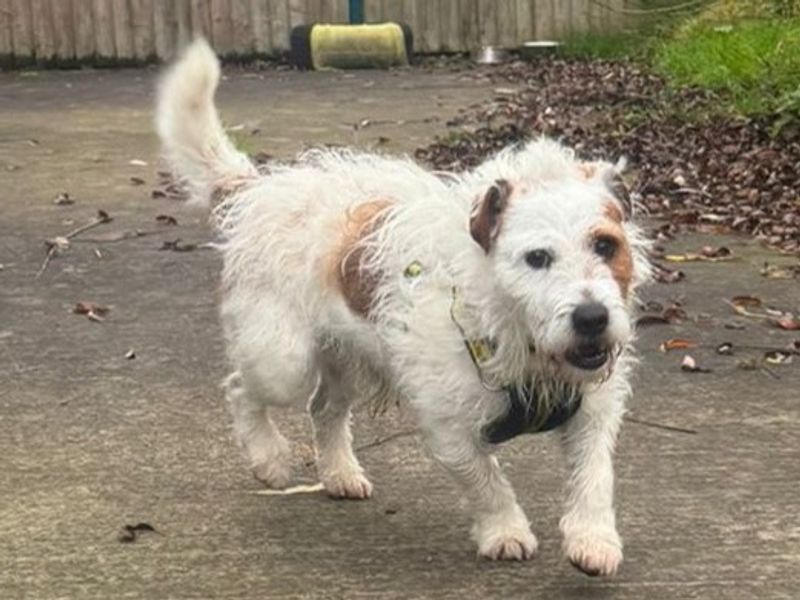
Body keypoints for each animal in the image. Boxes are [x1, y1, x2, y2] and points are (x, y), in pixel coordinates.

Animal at [156, 39, 648, 576]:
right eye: (537, 258)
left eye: (605, 245)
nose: (592, 318)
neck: (514, 334)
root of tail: (261, 188)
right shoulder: (450, 427)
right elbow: (487, 480)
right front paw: (504, 531)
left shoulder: (592, 413)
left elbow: (594, 475)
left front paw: (593, 538)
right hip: (281, 361)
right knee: (241, 389)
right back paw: (269, 459)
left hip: (346, 358)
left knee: (324, 409)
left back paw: (339, 472)